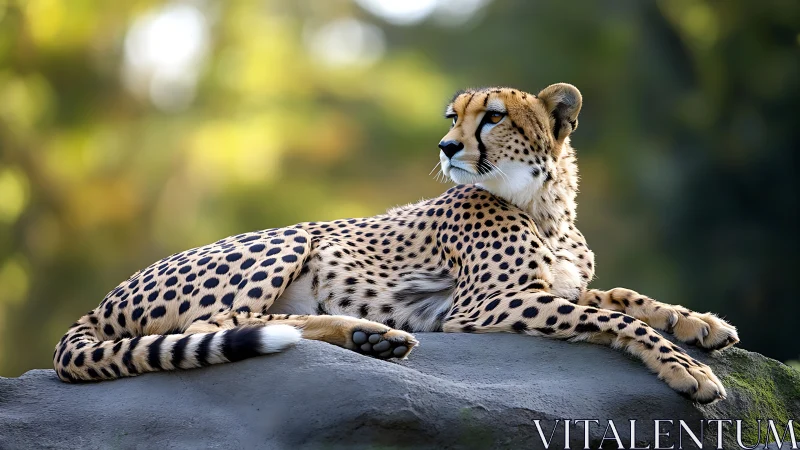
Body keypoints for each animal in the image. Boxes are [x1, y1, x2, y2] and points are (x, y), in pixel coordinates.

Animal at [53, 83, 739, 404]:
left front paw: (699, 323)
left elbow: (624, 296)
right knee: (223, 326)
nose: (447, 146)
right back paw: (367, 334)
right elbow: (615, 318)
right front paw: (686, 369)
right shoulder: (481, 307)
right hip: (288, 239)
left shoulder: (561, 285)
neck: (546, 208)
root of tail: (97, 303)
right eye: (453, 117)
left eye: (493, 116)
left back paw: (370, 336)